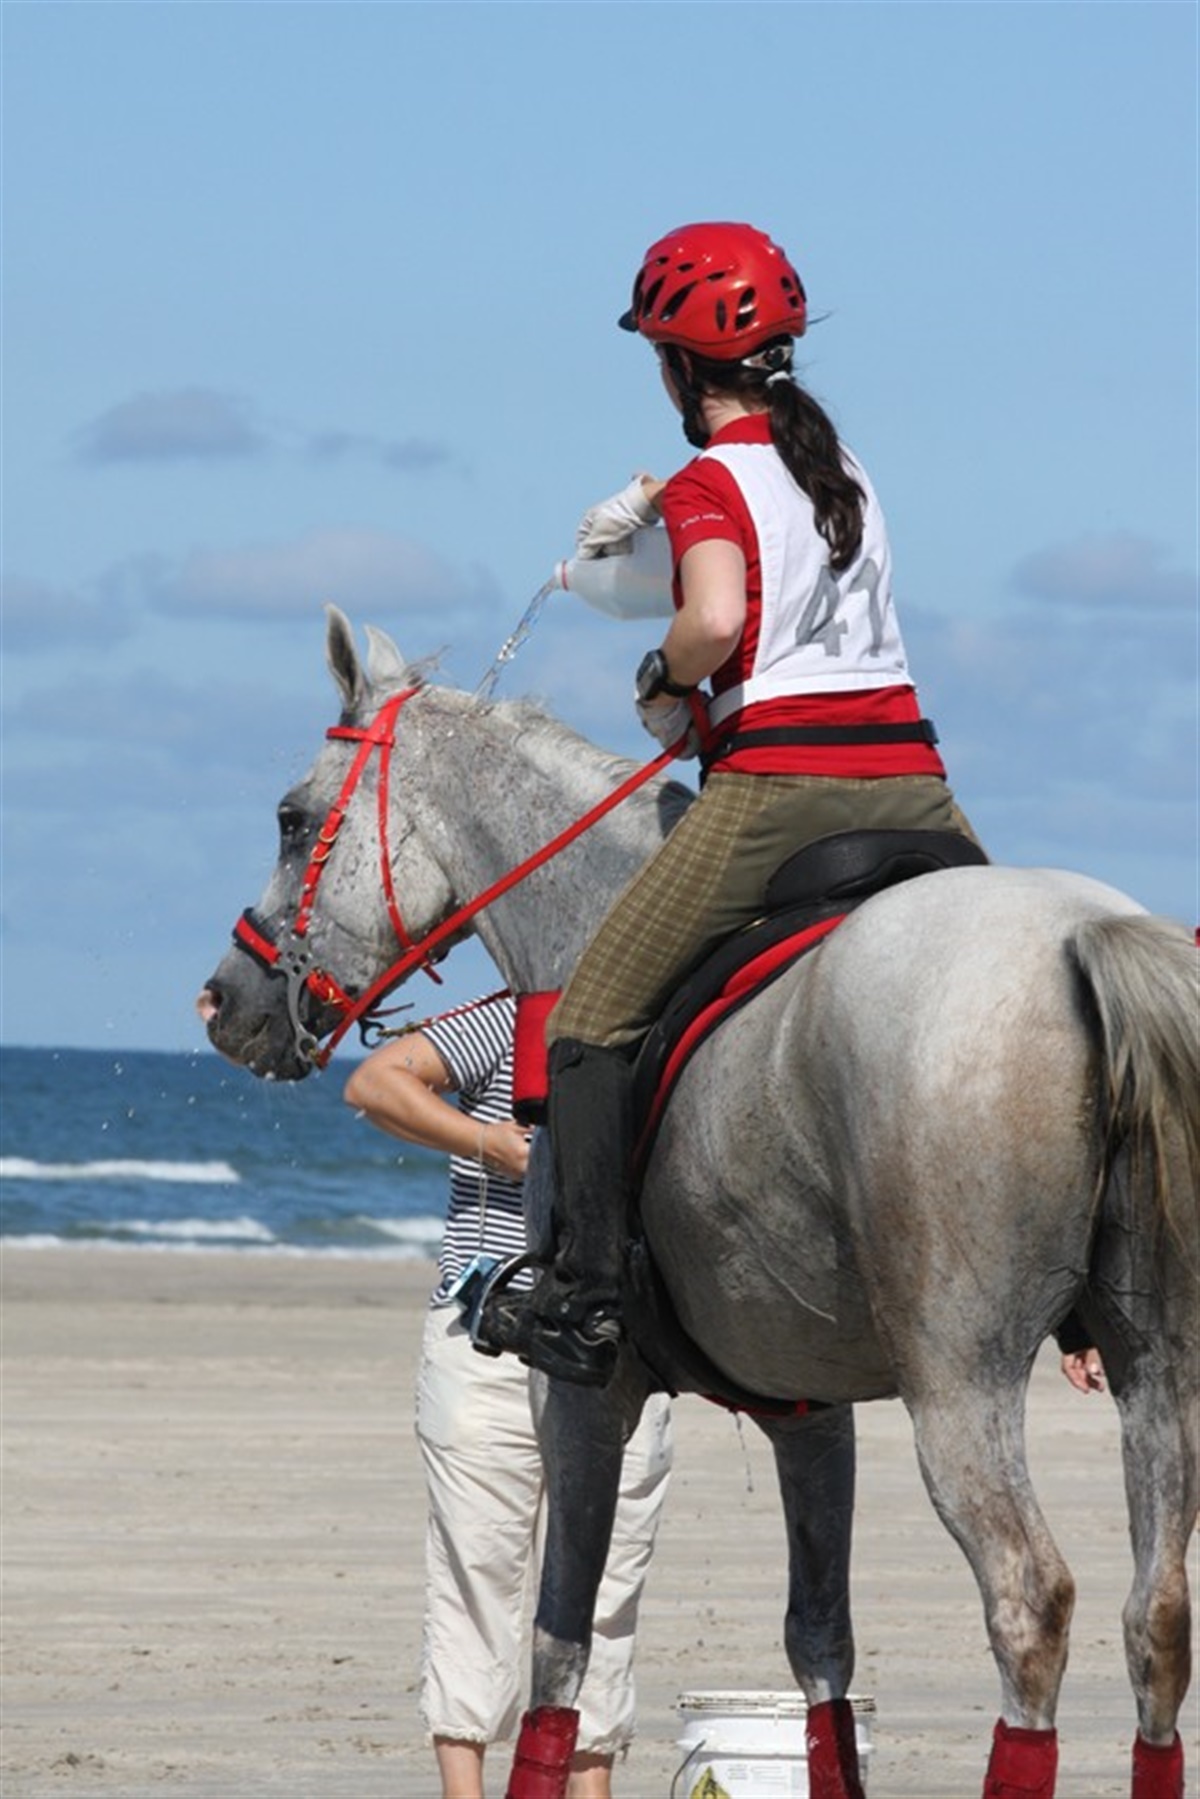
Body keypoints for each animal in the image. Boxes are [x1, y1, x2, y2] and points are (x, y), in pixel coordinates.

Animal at [198, 608, 1198, 1799]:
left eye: (293, 818)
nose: (226, 1002)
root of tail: (1080, 938)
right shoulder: (810, 1413)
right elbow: (821, 1655)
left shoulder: (585, 1391)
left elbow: (560, 1648)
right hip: (1155, 1366)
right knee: (1159, 1619)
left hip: (962, 1382)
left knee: (1029, 1601)